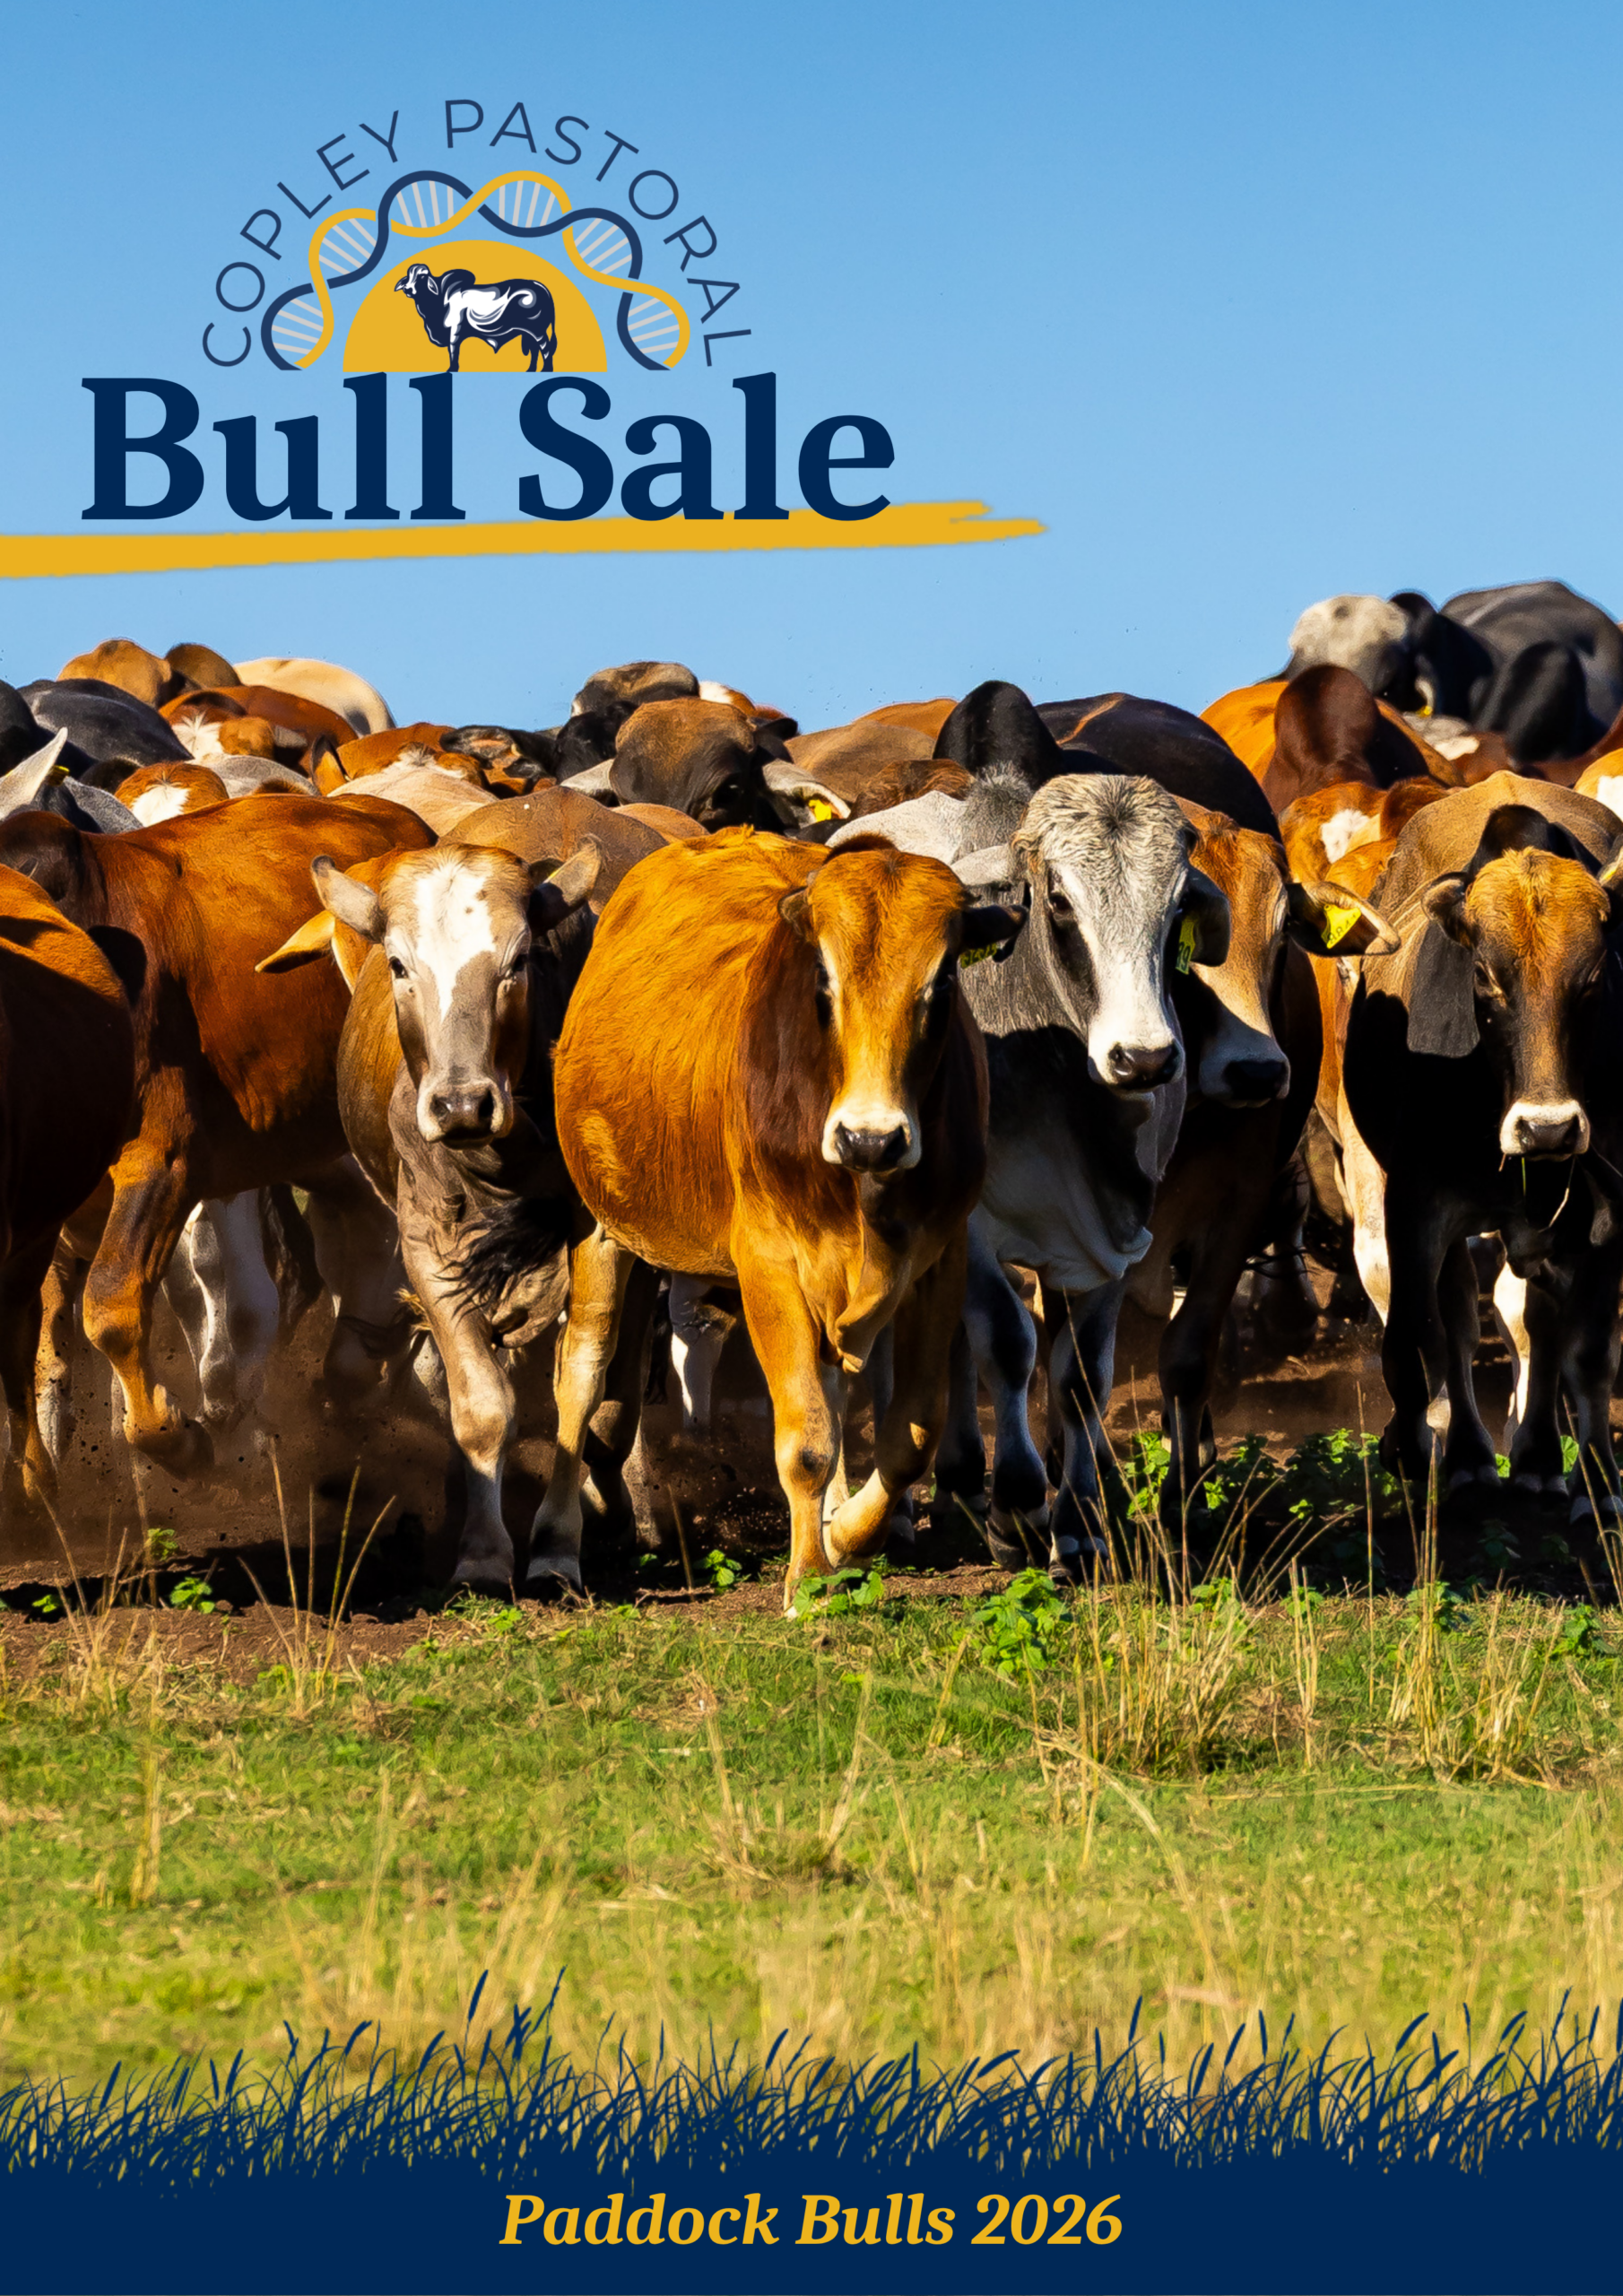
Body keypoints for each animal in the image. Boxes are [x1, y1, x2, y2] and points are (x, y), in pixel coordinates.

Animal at [0, 791, 433, 1478]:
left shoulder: (164, 1162)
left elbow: (111, 1309)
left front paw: (177, 1436)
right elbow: (46, 1361)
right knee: (365, 1220)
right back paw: (352, 1367)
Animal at [396, 262, 558, 372]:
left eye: (422, 276)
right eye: (408, 277)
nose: (407, 289)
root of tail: (540, 286)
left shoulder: (455, 331)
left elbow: (453, 350)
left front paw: (452, 369)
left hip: (537, 331)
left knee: (545, 348)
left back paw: (546, 370)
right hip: (528, 333)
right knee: (535, 350)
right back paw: (530, 370)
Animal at [533, 829, 1018, 1604]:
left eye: (941, 982)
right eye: (823, 980)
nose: (871, 1138)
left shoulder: (937, 1260)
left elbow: (909, 1437)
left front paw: (843, 1536)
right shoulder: (769, 1263)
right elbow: (807, 1441)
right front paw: (811, 1579)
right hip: (601, 1226)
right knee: (581, 1372)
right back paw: (554, 1545)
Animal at [1343, 773, 1623, 1517]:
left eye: (1593, 980)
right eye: (1486, 979)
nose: (1548, 1127)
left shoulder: (1603, 1213)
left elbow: (1584, 1353)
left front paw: (1592, 1479)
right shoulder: (1418, 1203)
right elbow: (1421, 1333)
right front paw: (1419, 1453)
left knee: (1534, 1325)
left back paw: (1529, 1458)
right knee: (1454, 1320)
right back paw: (1467, 1455)